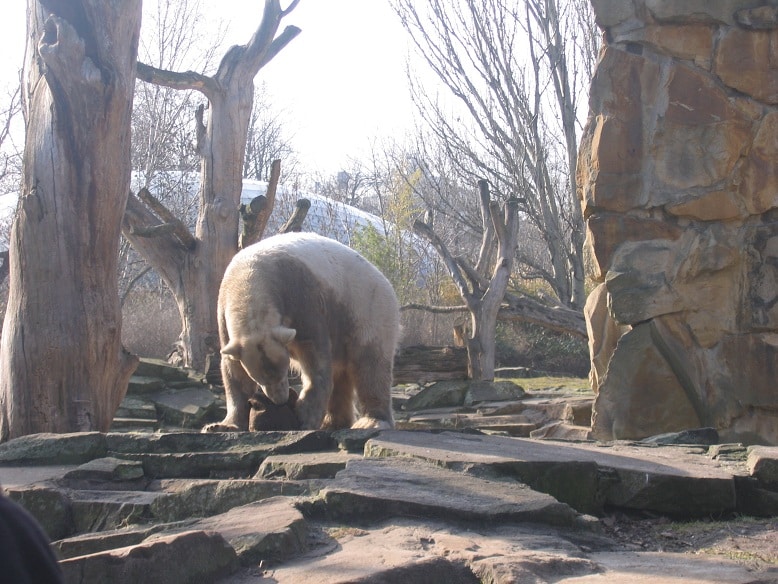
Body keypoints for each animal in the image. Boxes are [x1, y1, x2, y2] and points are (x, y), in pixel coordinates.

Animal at [200, 230, 400, 432]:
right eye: (261, 378)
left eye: (282, 371)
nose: (280, 400)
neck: (248, 279)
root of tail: (385, 282)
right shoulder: (223, 313)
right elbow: (233, 371)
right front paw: (220, 425)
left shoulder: (300, 295)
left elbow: (313, 353)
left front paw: (305, 416)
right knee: (341, 374)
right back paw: (333, 422)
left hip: (365, 310)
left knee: (370, 363)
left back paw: (372, 421)